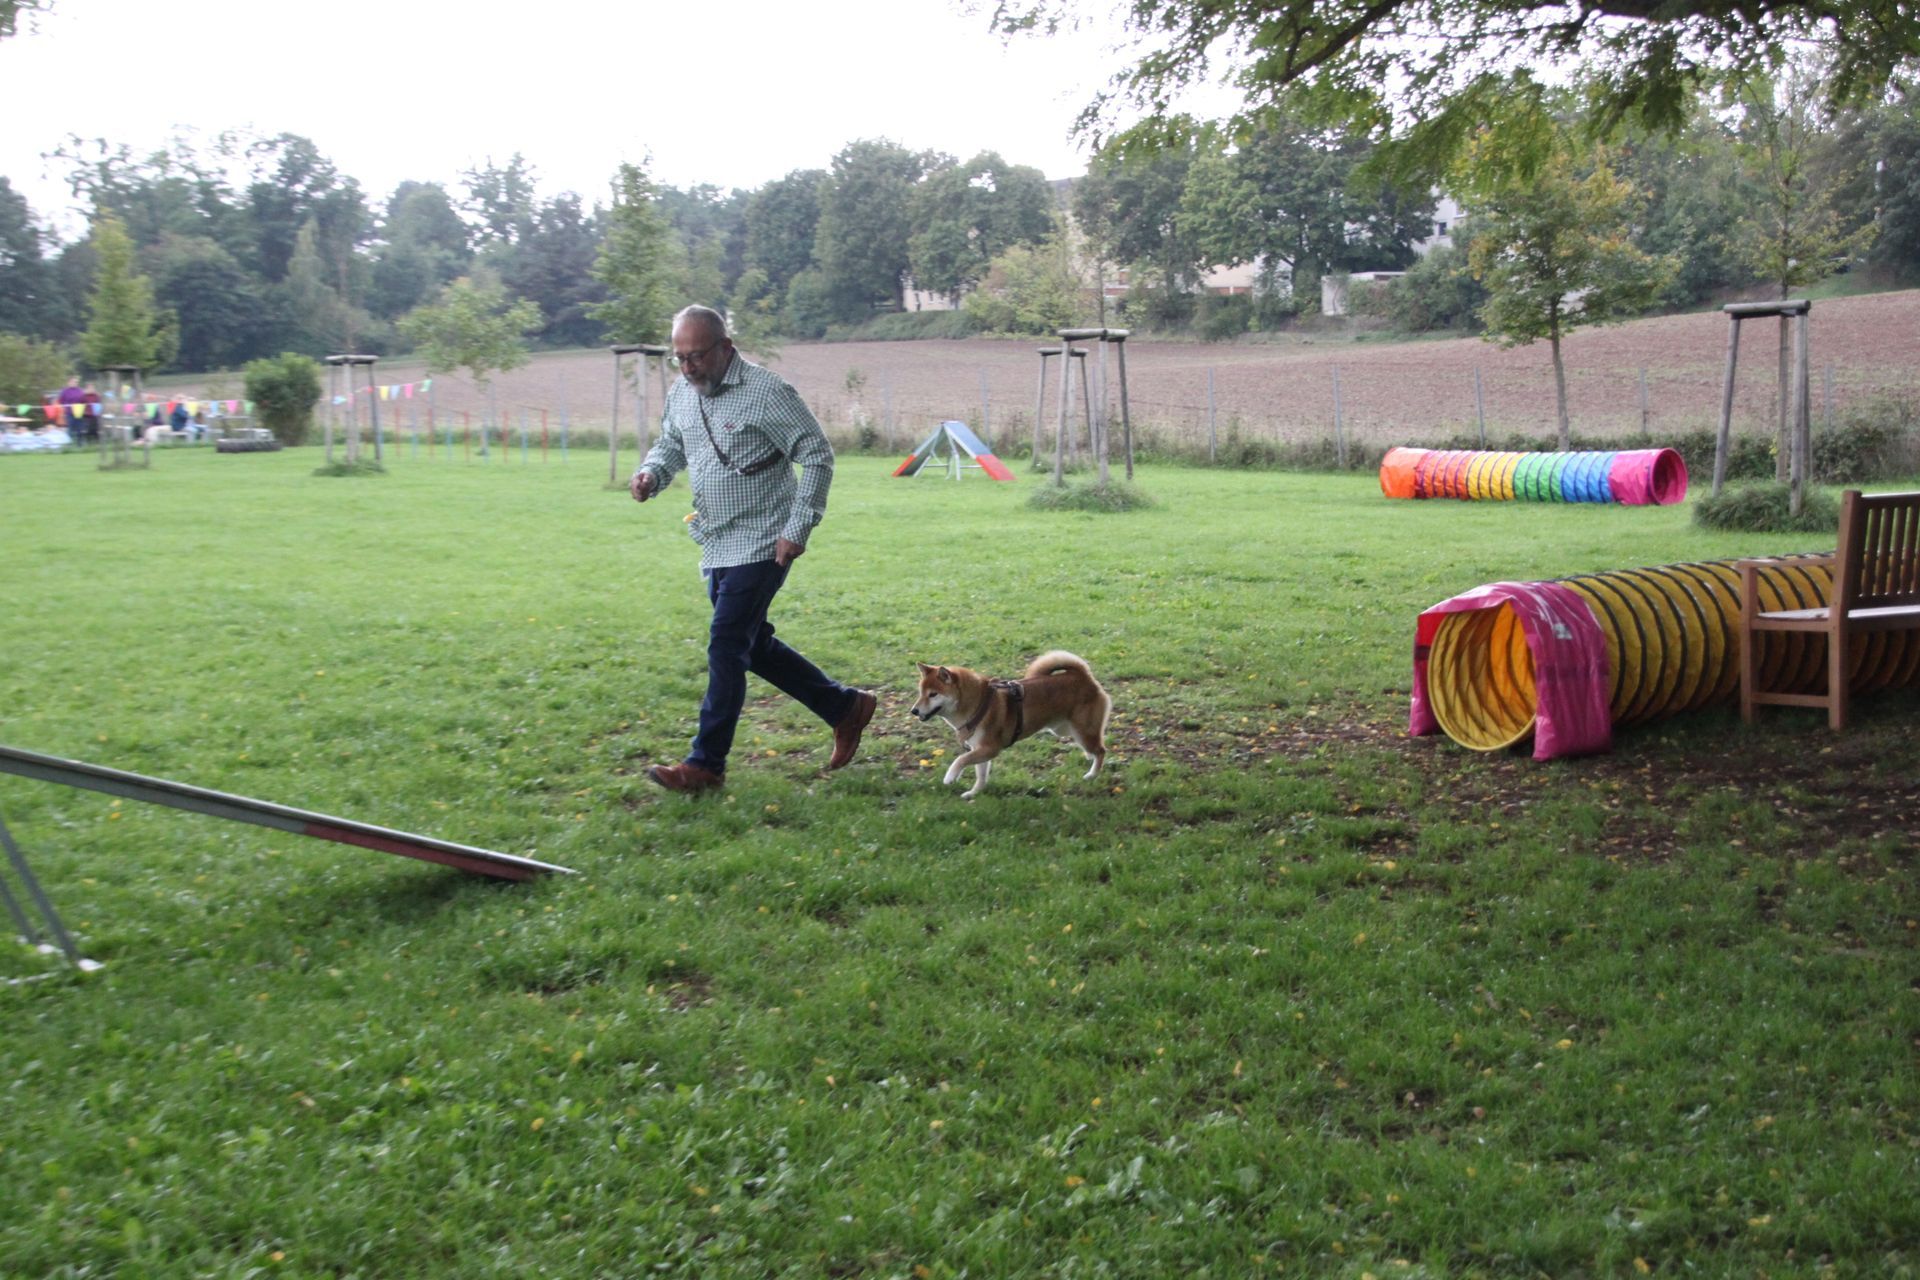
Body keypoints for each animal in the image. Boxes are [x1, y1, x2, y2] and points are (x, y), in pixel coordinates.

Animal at [911, 651, 1110, 798]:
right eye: (921, 692)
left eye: (933, 694)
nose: (914, 711)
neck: (977, 703)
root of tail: (1083, 676)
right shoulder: (979, 749)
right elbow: (980, 775)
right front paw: (974, 793)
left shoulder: (990, 748)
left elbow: (960, 759)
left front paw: (950, 777)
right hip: (1065, 729)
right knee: (1093, 748)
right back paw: (1090, 759)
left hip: (1083, 730)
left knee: (1101, 750)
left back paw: (1092, 774)